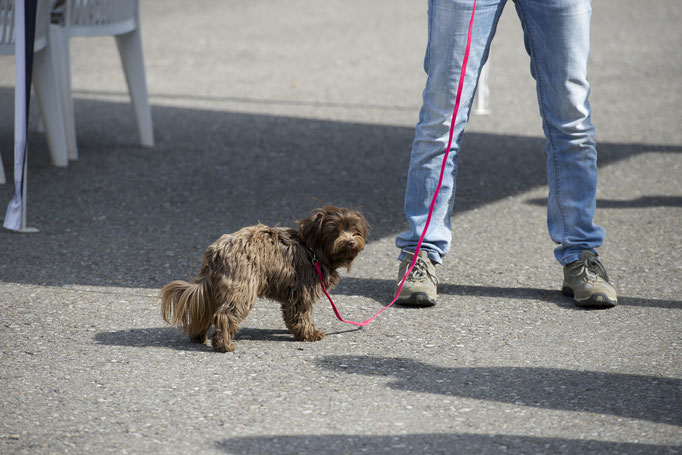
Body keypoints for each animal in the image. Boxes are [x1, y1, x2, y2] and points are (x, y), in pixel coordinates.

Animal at [159, 207, 366, 352]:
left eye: (354, 229)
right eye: (334, 230)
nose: (350, 241)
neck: (312, 250)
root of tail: (216, 251)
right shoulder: (301, 292)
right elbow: (301, 315)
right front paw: (310, 334)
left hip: (215, 288)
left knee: (205, 309)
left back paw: (199, 336)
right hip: (241, 288)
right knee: (225, 315)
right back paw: (224, 345)